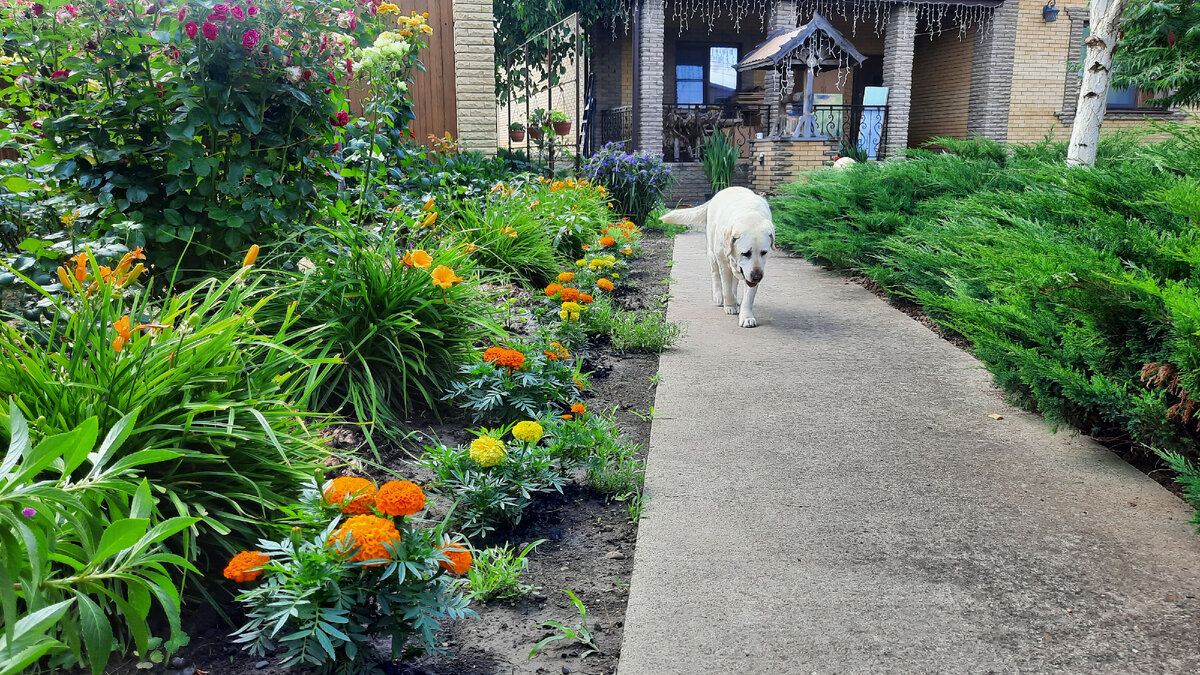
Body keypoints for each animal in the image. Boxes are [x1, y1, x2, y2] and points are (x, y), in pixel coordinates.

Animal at [662, 184, 772, 326]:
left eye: (764, 252)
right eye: (745, 253)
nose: (757, 277)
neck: (748, 215)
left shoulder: (754, 270)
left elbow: (748, 296)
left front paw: (746, 316)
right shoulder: (723, 262)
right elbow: (726, 287)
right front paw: (730, 306)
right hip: (712, 255)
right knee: (716, 276)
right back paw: (719, 297)